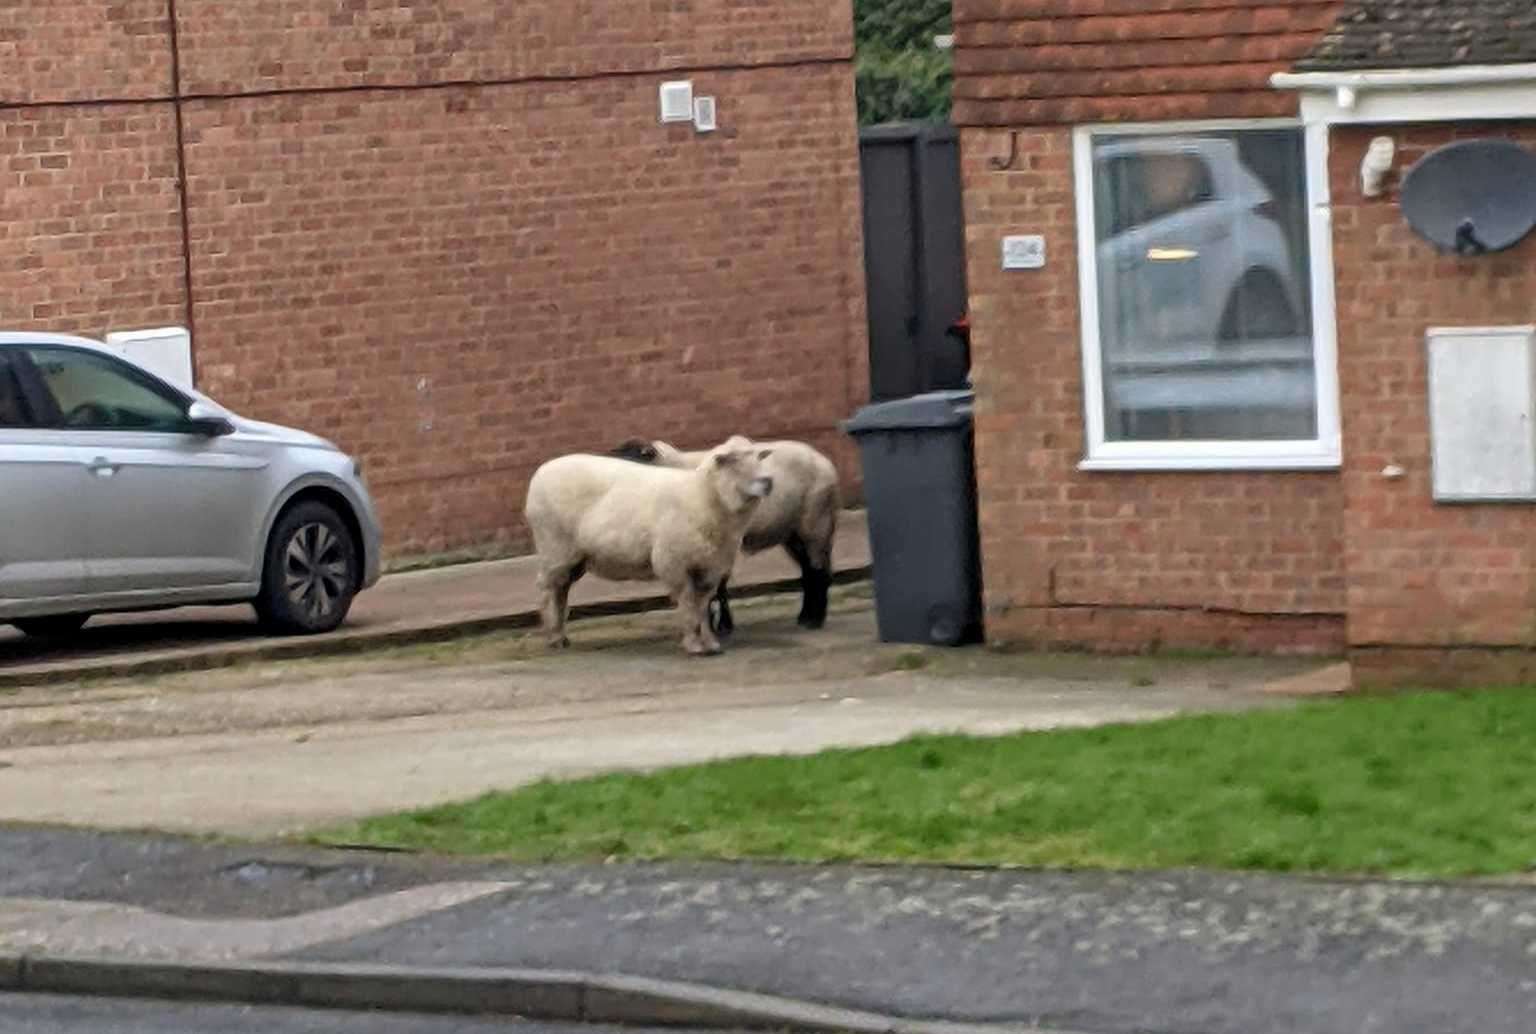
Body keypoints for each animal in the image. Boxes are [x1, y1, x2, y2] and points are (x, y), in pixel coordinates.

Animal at [522, 436, 774, 654]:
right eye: (734, 461)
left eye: (759, 457)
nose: (768, 482)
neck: (700, 496)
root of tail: (541, 472)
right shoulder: (674, 562)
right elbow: (688, 604)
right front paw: (694, 645)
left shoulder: (711, 566)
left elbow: (702, 606)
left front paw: (710, 643)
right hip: (554, 546)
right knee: (547, 591)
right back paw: (553, 637)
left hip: (574, 557)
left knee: (561, 590)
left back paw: (562, 636)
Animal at [605, 433, 841, 632]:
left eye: (636, 458)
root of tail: (823, 461)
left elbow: (718, 586)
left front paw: (721, 626)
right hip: (792, 532)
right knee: (808, 570)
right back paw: (805, 617)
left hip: (816, 522)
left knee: (818, 570)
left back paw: (814, 620)